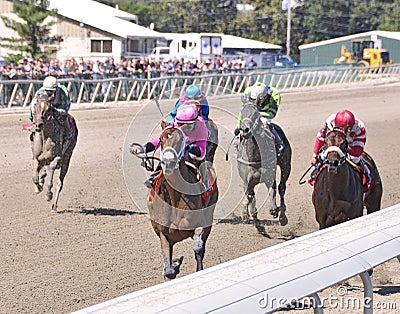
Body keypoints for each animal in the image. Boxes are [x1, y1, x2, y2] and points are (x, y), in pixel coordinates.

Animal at [234, 103, 290, 233]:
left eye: (255, 114)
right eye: (242, 113)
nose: (245, 130)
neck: (255, 156)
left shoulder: (269, 177)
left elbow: (273, 191)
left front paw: (274, 209)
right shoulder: (247, 182)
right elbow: (251, 200)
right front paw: (256, 224)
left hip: (286, 166)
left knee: (281, 187)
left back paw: (282, 216)